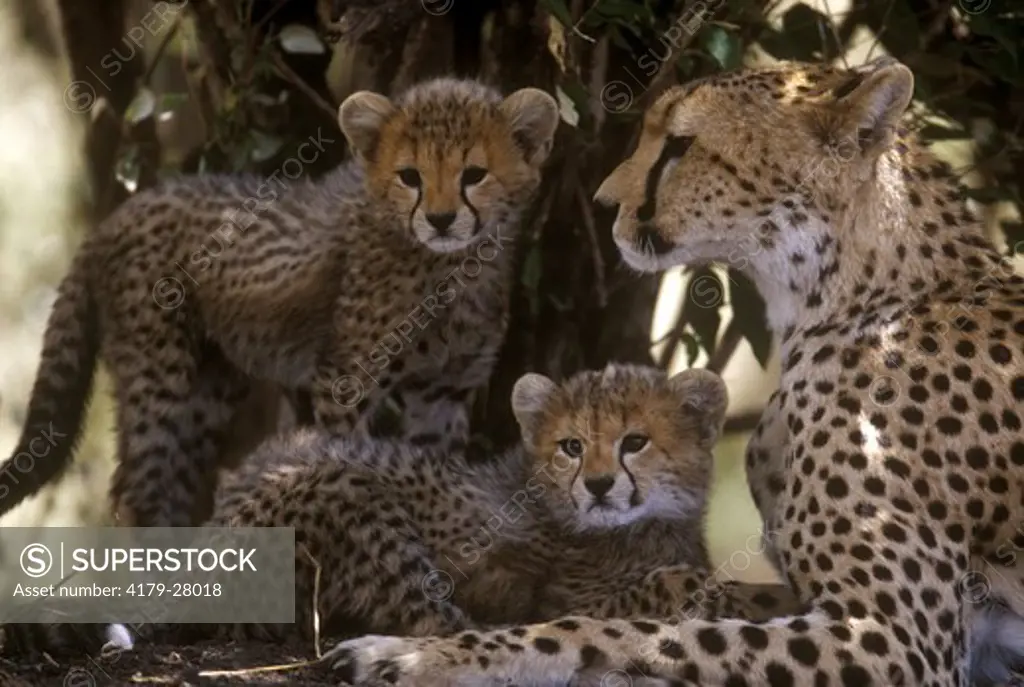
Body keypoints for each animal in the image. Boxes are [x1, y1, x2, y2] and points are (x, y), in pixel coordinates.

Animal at [0, 77, 561, 528]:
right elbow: (351, 458)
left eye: (474, 174)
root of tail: (118, 215)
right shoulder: (345, 380)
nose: (442, 220)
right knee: (134, 493)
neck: (452, 267)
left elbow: (434, 469)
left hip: (209, 388)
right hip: (160, 376)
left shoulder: (444, 391)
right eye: (410, 176)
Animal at [325, 57, 1024, 687]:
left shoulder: (894, 640)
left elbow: (613, 632)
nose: (605, 201)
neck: (840, 297)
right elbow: (685, 599)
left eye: (683, 145)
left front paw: (420, 654)